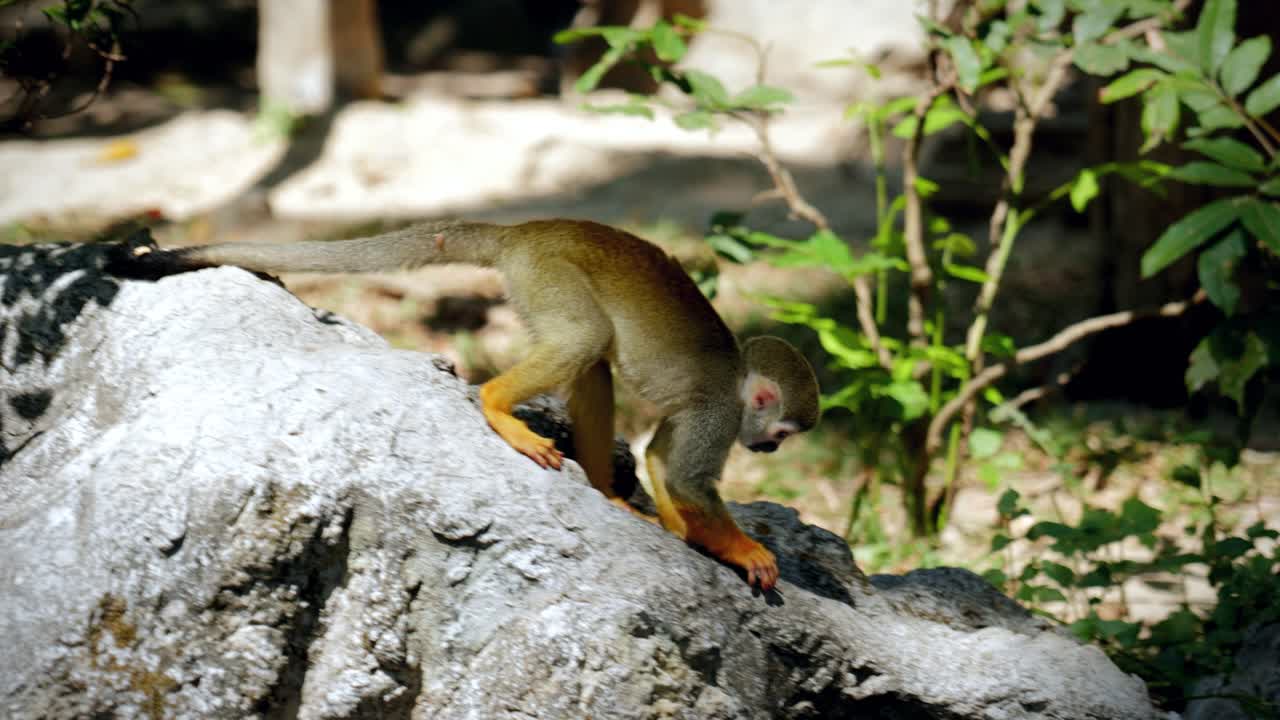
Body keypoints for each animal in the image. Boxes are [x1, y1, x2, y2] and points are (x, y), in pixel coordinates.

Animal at [111, 219, 820, 590]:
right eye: (784, 433)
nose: (768, 447)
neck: (738, 384)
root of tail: (530, 228)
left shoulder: (703, 416)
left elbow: (663, 458)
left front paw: (681, 531)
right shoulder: (720, 413)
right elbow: (691, 479)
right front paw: (742, 550)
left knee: (590, 353)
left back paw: (603, 488)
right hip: (547, 270)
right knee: (586, 338)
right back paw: (497, 406)